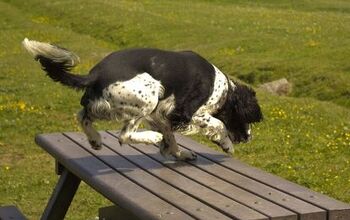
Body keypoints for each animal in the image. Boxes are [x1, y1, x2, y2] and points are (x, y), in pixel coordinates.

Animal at [22, 38, 262, 161]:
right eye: (246, 119)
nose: (249, 138)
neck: (223, 89)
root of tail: (95, 74)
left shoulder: (162, 114)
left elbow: (171, 137)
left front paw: (180, 153)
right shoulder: (185, 112)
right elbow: (218, 123)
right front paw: (226, 145)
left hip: (116, 105)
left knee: (83, 115)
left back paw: (95, 140)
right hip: (149, 95)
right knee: (124, 135)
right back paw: (151, 137)